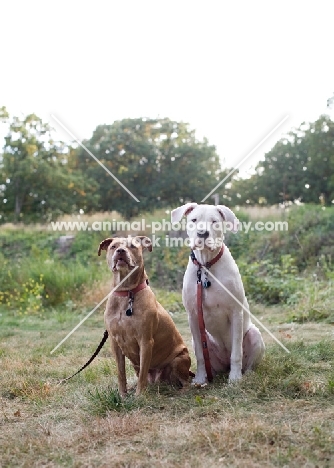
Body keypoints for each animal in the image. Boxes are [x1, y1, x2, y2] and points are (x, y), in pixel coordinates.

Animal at [98, 238, 190, 394]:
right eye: (113, 246)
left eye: (132, 246)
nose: (120, 251)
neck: (127, 292)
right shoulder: (115, 343)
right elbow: (121, 372)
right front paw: (122, 394)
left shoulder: (145, 341)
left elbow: (142, 373)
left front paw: (139, 395)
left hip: (179, 359)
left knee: (187, 381)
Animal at [171, 204, 264, 384]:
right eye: (194, 219)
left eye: (214, 221)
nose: (202, 233)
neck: (206, 266)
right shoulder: (193, 316)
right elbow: (200, 354)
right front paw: (200, 378)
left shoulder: (236, 312)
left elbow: (236, 352)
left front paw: (234, 379)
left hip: (254, 335)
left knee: (247, 363)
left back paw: (245, 374)